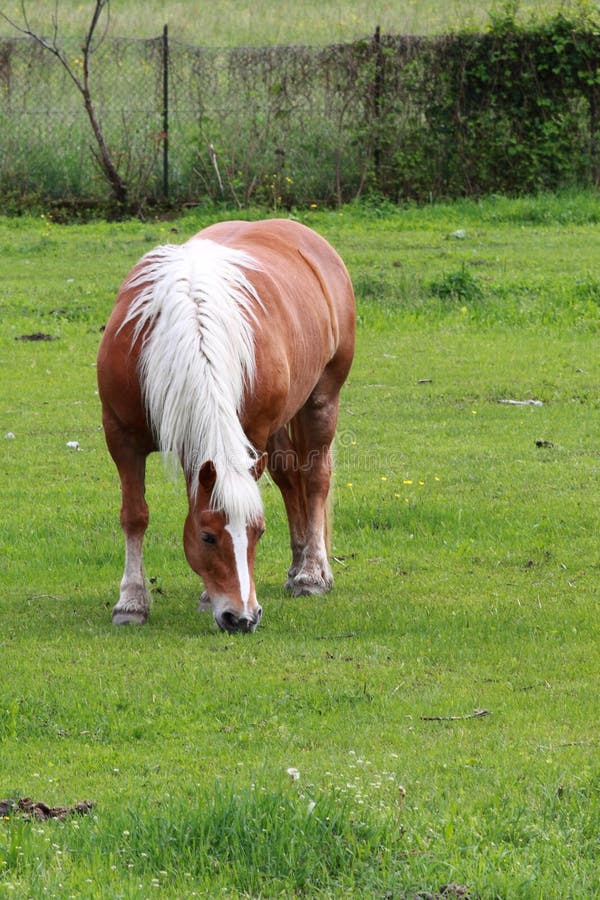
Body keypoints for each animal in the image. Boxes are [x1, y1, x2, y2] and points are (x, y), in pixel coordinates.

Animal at [97, 218, 355, 634]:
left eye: (258, 533)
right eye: (207, 537)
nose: (243, 618)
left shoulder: (250, 432)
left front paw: (205, 599)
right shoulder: (121, 436)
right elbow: (134, 516)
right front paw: (131, 602)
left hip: (321, 401)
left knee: (315, 478)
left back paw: (311, 574)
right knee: (289, 478)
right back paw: (297, 563)